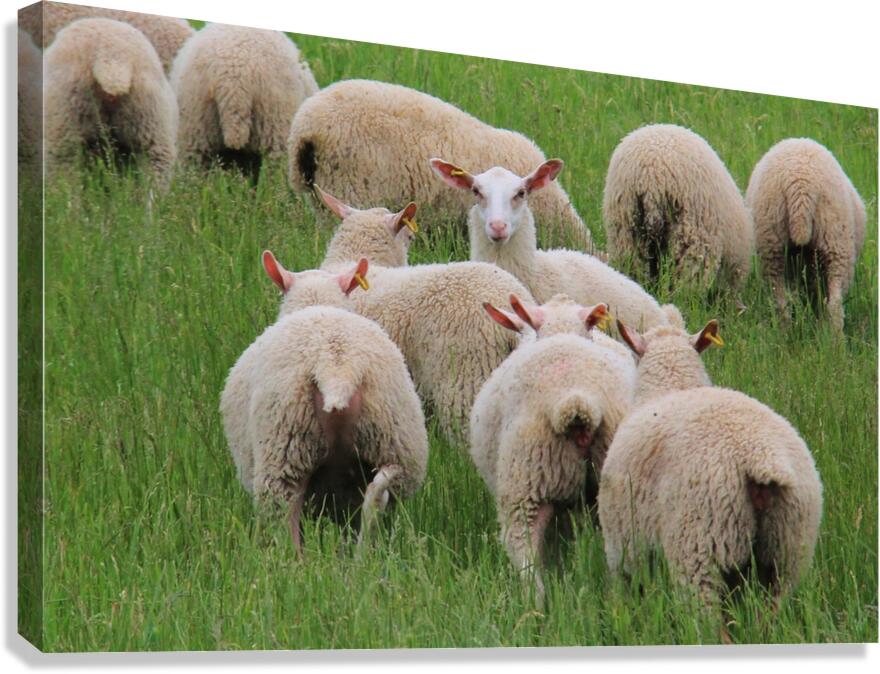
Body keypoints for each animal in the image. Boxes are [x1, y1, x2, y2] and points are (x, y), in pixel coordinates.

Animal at [221, 255, 428, 551]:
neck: (316, 303)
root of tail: (336, 367)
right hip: (394, 444)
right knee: (377, 498)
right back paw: (363, 555)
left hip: (284, 453)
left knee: (286, 520)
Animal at [598, 319, 823, 626]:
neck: (673, 386)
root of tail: (761, 458)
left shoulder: (621, 547)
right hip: (788, 551)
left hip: (700, 548)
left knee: (709, 623)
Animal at [745, 138, 867, 331]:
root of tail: (800, 183)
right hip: (836, 242)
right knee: (835, 303)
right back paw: (835, 338)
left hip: (772, 244)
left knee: (782, 303)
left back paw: (787, 333)